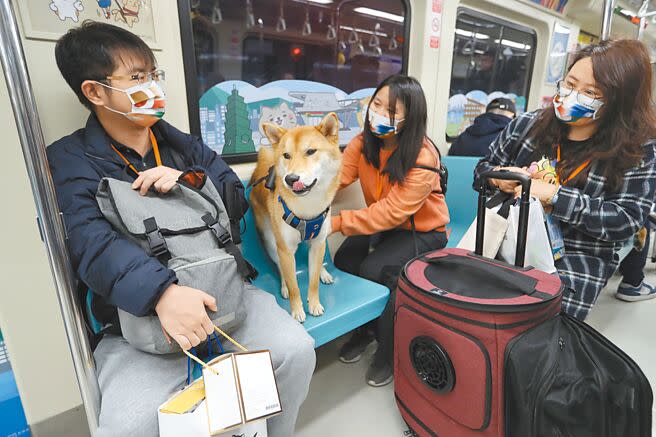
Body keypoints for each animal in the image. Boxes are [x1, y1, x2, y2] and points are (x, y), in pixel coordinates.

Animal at [249, 111, 344, 324]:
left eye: (311, 151)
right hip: (271, 242)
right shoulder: (285, 250)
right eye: (286, 155)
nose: (291, 179)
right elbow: (294, 286)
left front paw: (314, 304)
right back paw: (284, 286)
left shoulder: (318, 242)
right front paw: (298, 310)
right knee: (282, 270)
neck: (308, 207)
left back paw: (324, 273)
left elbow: (313, 281)